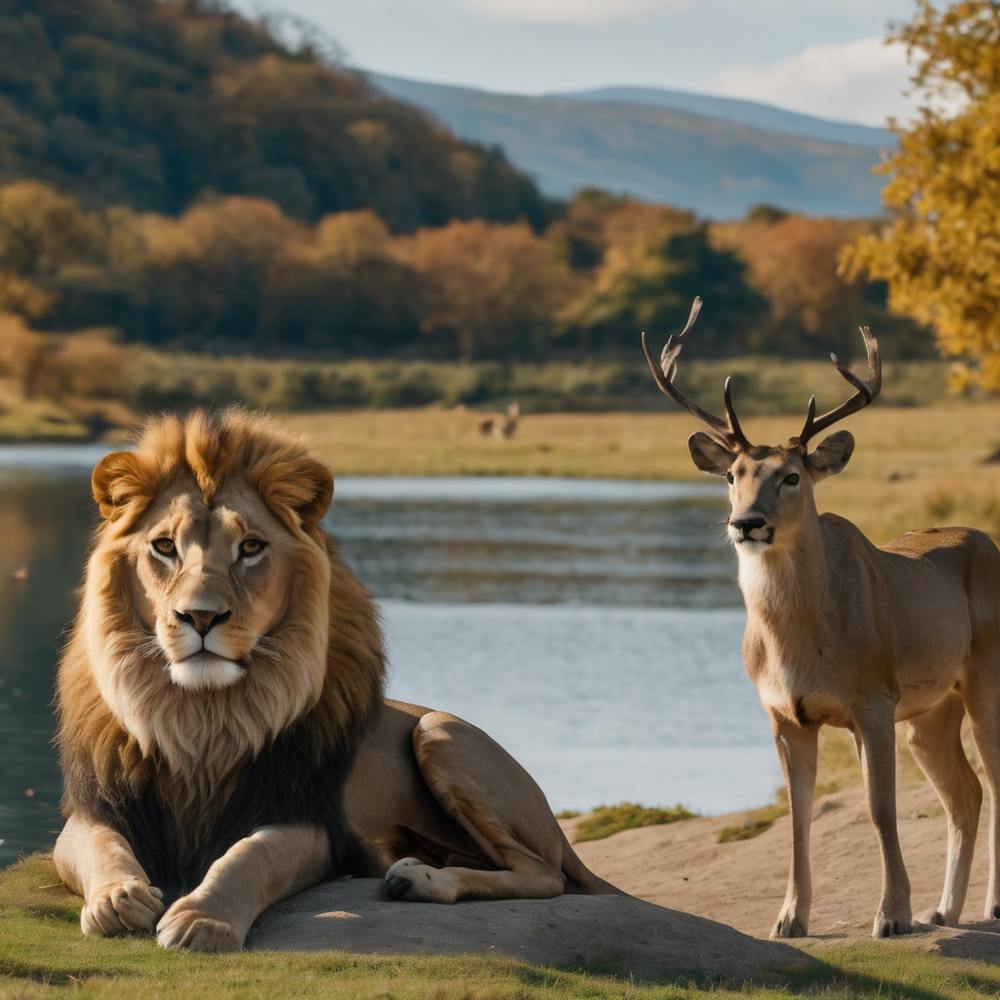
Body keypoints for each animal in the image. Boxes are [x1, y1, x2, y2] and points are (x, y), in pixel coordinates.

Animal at [53, 407, 615, 952]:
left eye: (250, 547)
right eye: (165, 546)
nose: (201, 616)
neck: (202, 718)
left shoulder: (307, 822)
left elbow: (247, 858)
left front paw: (202, 919)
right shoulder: (95, 810)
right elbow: (102, 848)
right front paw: (117, 898)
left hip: (437, 732)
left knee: (543, 875)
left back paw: (420, 880)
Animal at [642, 298, 1000, 940]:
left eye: (792, 476)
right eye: (732, 476)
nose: (746, 522)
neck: (802, 649)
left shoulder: (874, 699)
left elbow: (880, 808)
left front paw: (891, 916)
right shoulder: (784, 712)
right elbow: (796, 814)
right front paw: (789, 918)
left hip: (986, 676)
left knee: (994, 779)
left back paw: (988, 907)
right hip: (932, 710)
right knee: (965, 792)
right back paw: (943, 910)